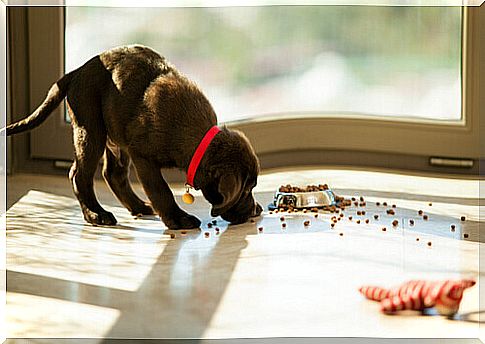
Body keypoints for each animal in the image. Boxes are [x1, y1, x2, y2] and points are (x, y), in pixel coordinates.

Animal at [6, 44, 260, 230]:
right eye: (246, 189)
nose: (256, 210)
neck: (197, 139)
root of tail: (76, 72)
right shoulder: (143, 157)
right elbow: (161, 190)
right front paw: (178, 219)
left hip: (115, 138)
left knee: (112, 174)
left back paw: (138, 206)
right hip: (91, 130)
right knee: (79, 175)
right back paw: (96, 215)